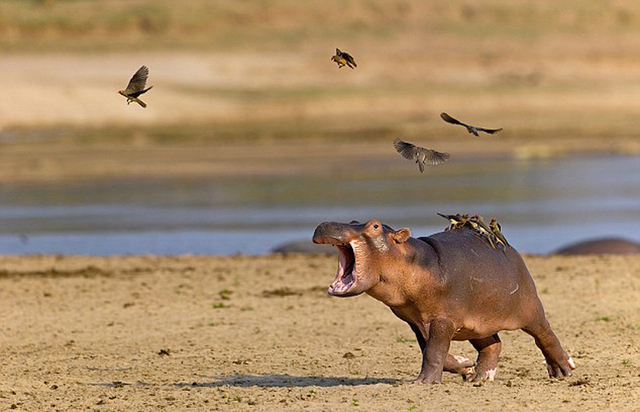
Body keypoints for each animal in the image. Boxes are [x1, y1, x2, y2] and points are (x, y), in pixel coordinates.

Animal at [312, 219, 576, 384]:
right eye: (353, 219)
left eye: (375, 226)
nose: (327, 224)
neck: (410, 259)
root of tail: (511, 250)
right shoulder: (415, 320)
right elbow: (429, 348)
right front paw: (464, 365)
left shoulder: (443, 319)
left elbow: (434, 351)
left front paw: (423, 382)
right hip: (476, 323)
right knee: (492, 345)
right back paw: (481, 378)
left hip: (530, 309)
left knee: (545, 334)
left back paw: (563, 369)